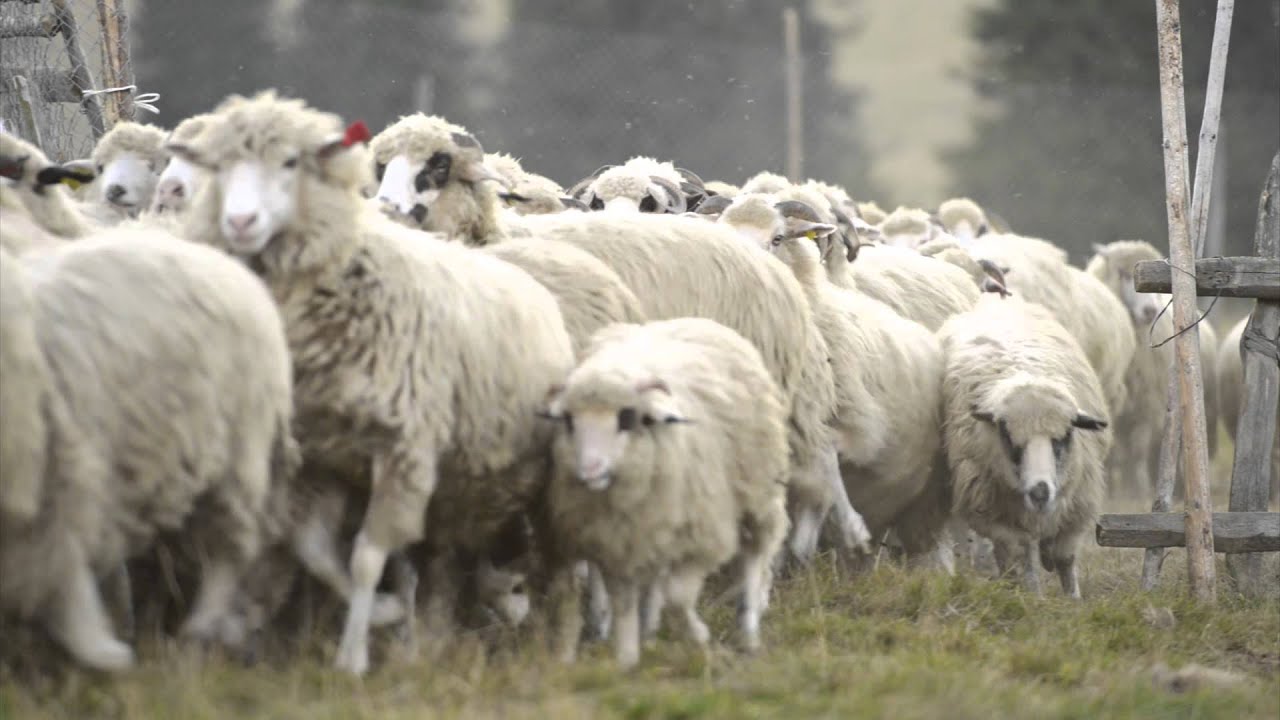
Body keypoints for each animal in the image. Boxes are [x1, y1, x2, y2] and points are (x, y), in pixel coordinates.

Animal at [0, 226, 298, 671]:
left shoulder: (59, 478)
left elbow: (60, 568)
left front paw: (103, 652)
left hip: (240, 449)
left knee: (228, 547)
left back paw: (201, 624)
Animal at [542, 317, 791, 667]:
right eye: (568, 420)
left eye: (627, 418)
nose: (589, 470)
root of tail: (693, 319)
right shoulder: (616, 542)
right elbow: (624, 604)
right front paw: (627, 659)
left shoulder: (703, 537)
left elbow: (678, 597)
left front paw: (698, 634)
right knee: (657, 577)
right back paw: (649, 628)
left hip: (759, 490)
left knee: (755, 557)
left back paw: (749, 631)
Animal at [940, 294, 1112, 597]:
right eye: (1007, 435)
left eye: (1064, 435)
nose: (1040, 492)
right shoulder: (997, 518)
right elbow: (1023, 561)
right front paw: (1033, 599)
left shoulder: (1077, 505)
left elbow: (1065, 559)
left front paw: (1073, 599)